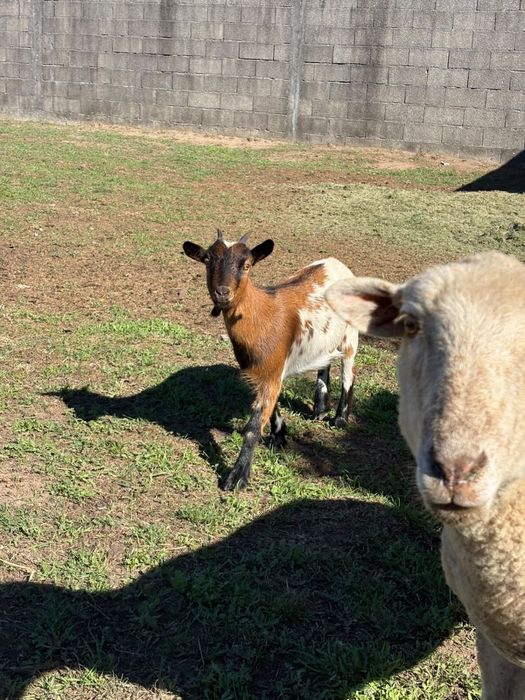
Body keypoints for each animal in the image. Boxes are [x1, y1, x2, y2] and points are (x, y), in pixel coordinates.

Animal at [183, 229, 359, 490]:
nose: (222, 293)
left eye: (247, 265)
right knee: (324, 363)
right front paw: (279, 436)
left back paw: (339, 419)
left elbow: (253, 426)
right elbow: (272, 405)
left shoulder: (272, 371)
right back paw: (319, 408)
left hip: (350, 335)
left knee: (348, 371)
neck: (263, 316)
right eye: (206, 261)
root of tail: (336, 263)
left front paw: (237, 477)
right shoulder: (263, 371)